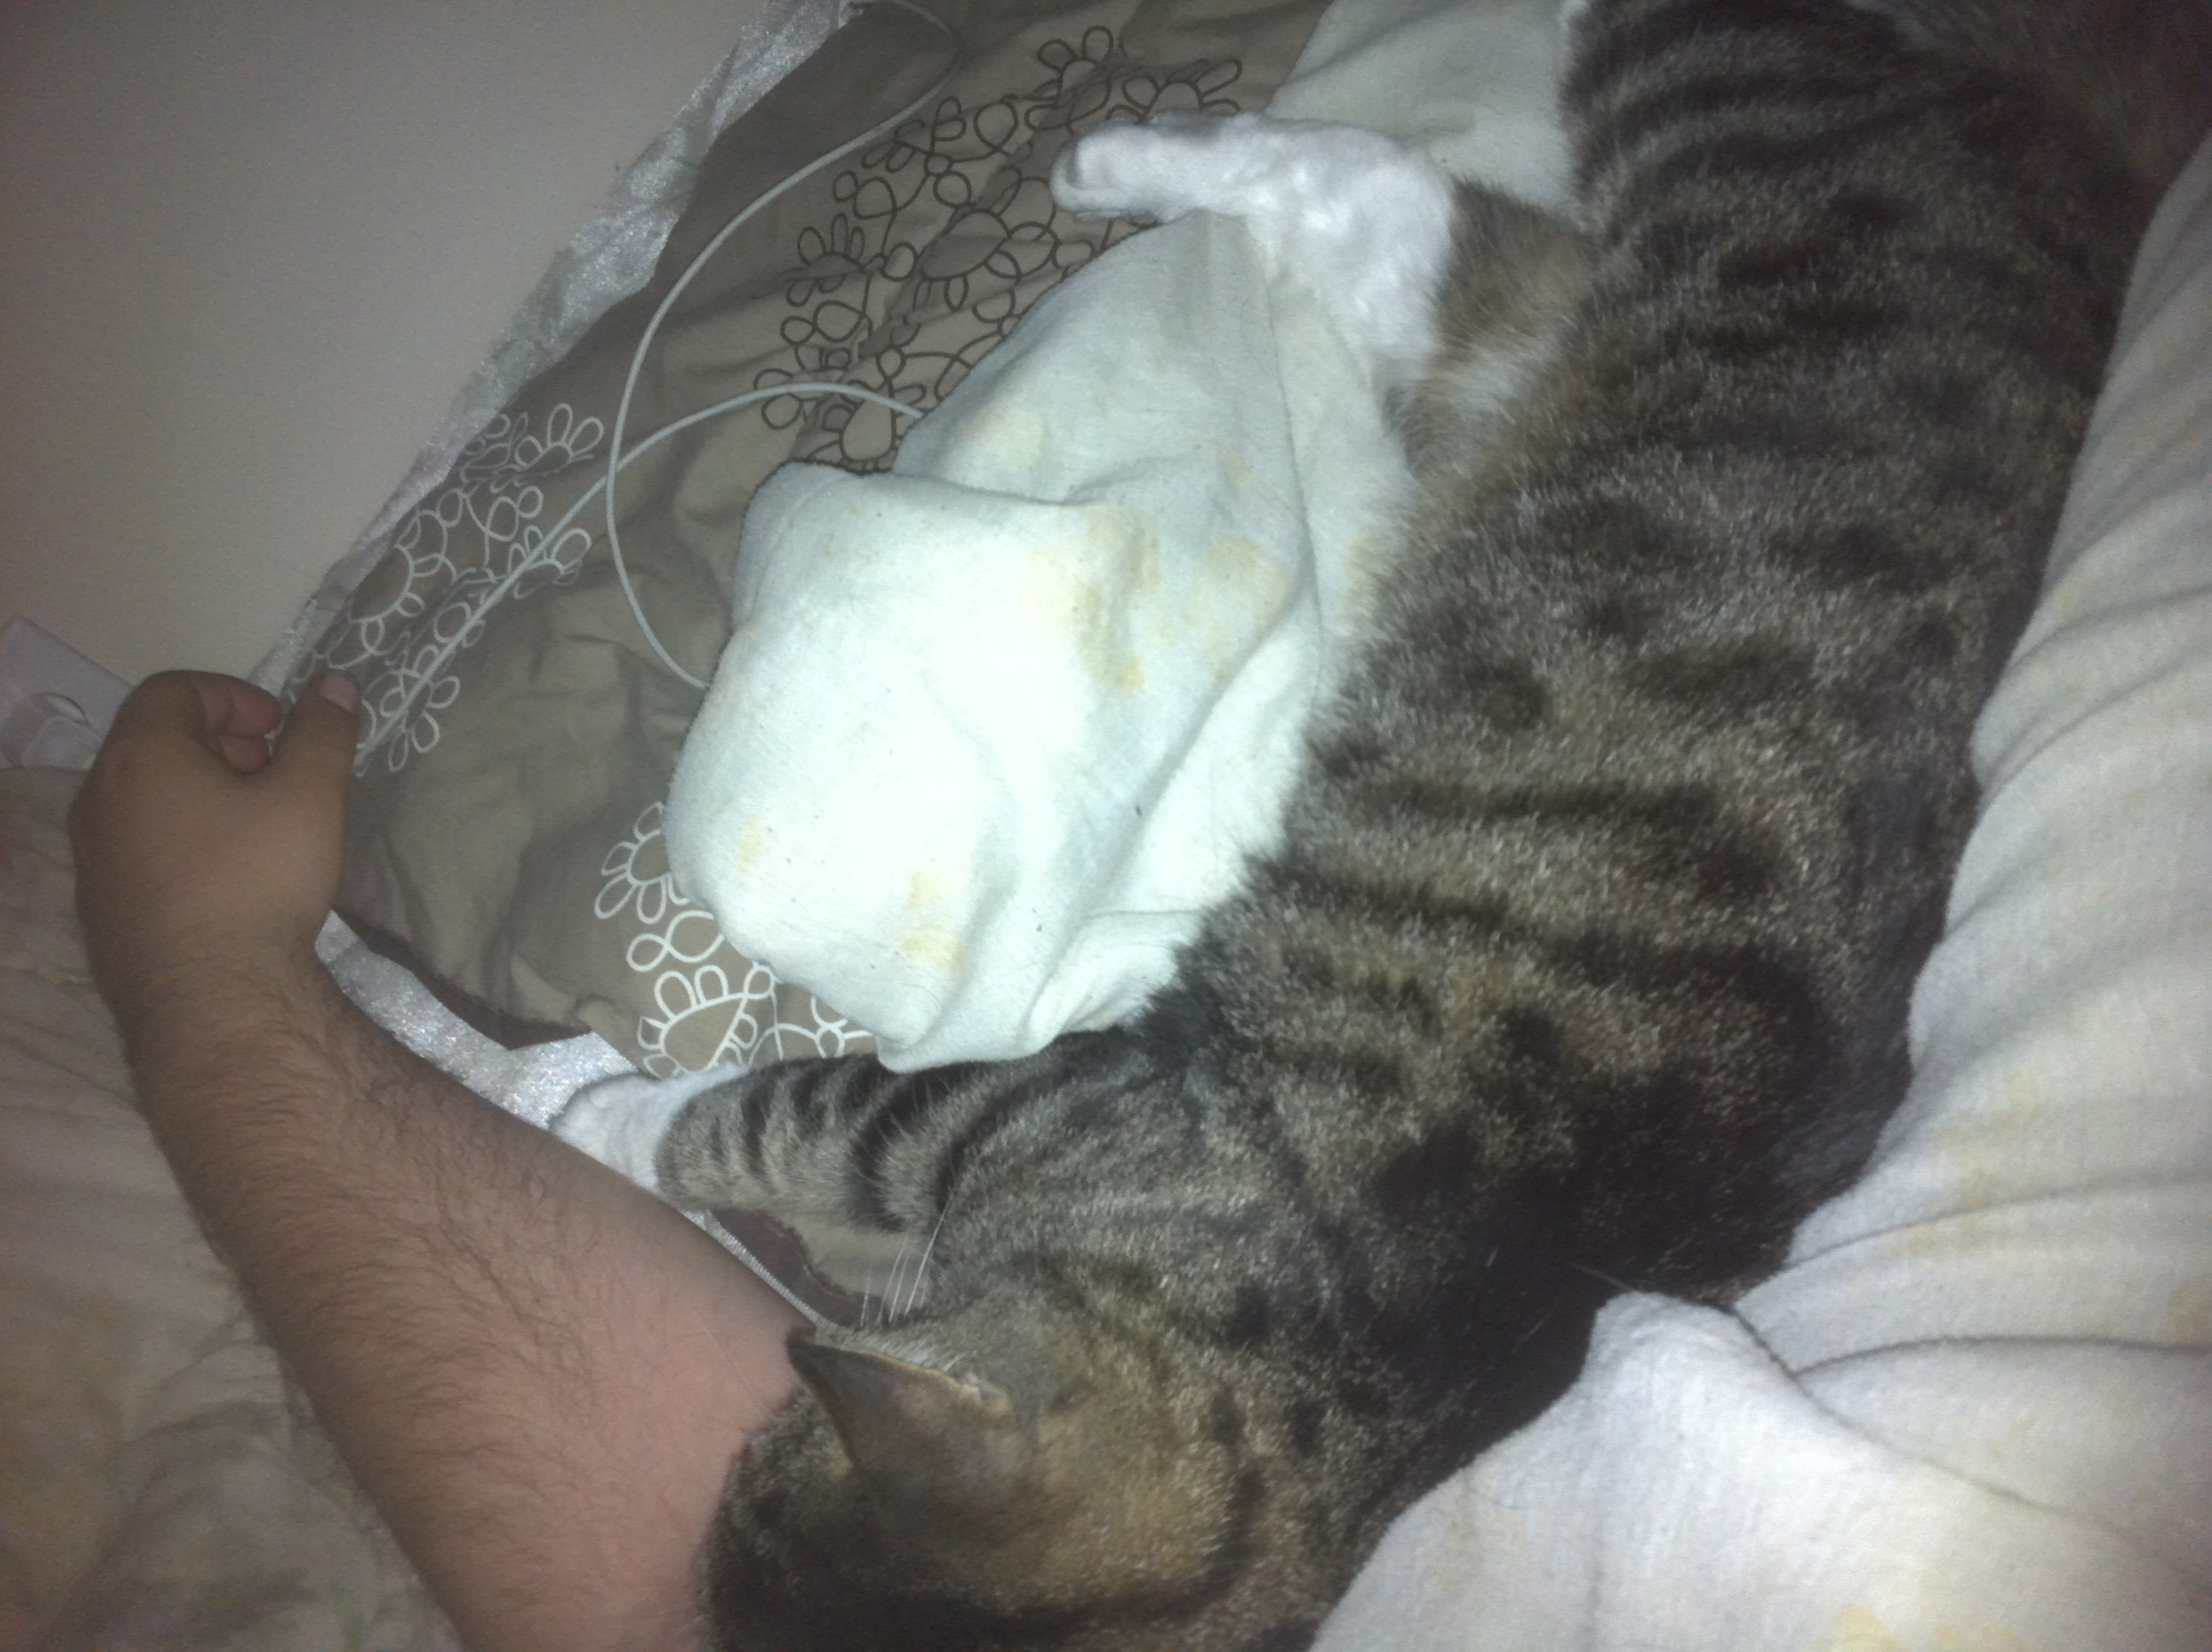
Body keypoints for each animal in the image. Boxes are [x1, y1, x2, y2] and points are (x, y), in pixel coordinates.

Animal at [556, 1, 2208, 1645]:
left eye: (741, 1478)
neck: (1365, 1359)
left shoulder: (1013, 1106)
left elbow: (770, 1119)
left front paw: (601, 1119)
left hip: (1697, 147)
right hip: (1550, 263)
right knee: (1396, 195)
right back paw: (1117, 165)